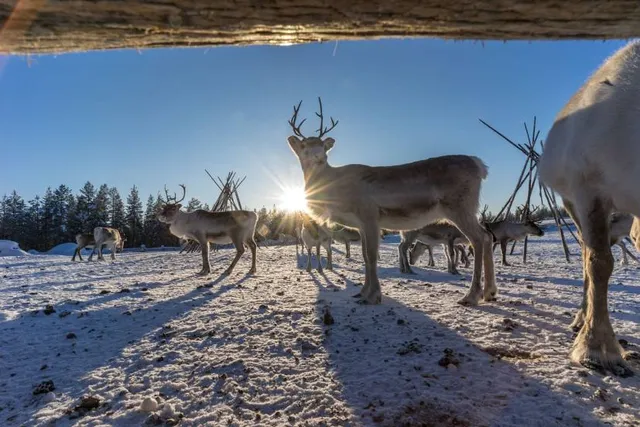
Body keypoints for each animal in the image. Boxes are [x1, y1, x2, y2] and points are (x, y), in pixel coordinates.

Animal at [286, 97, 496, 305]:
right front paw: (362, 292)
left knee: (479, 238)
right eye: (304, 146)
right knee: (487, 236)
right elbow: (365, 256)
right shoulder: (360, 225)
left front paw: (373, 296)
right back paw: (489, 292)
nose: (319, 157)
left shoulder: (369, 216)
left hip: (460, 207)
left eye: (323, 146)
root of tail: (480, 166)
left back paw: (471, 295)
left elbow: (371, 256)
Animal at [537, 40, 640, 376]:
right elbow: (599, 263)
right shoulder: (588, 190)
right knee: (585, 253)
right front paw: (598, 349)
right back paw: (581, 319)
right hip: (570, 202)